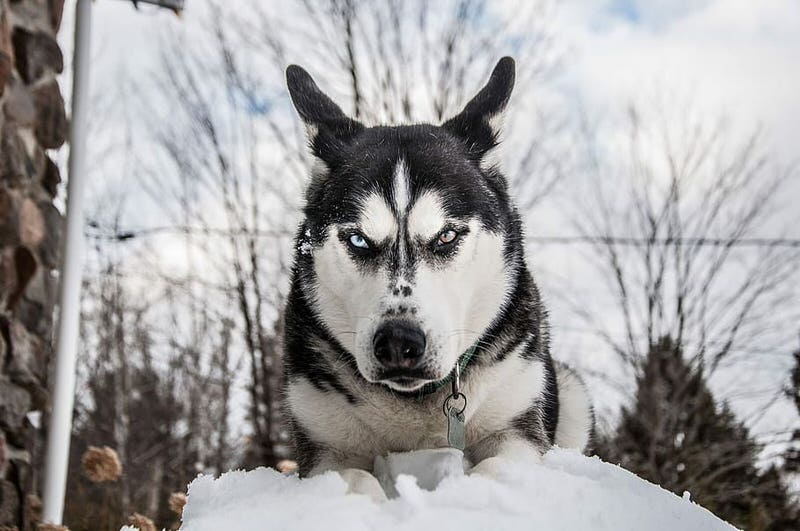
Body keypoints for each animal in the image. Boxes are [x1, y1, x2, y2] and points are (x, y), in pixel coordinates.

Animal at [284, 58, 592, 502]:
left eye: (446, 235)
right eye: (358, 239)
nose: (398, 342)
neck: (414, 403)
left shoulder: (515, 430)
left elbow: (495, 470)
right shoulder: (326, 446)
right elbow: (352, 479)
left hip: (571, 392)